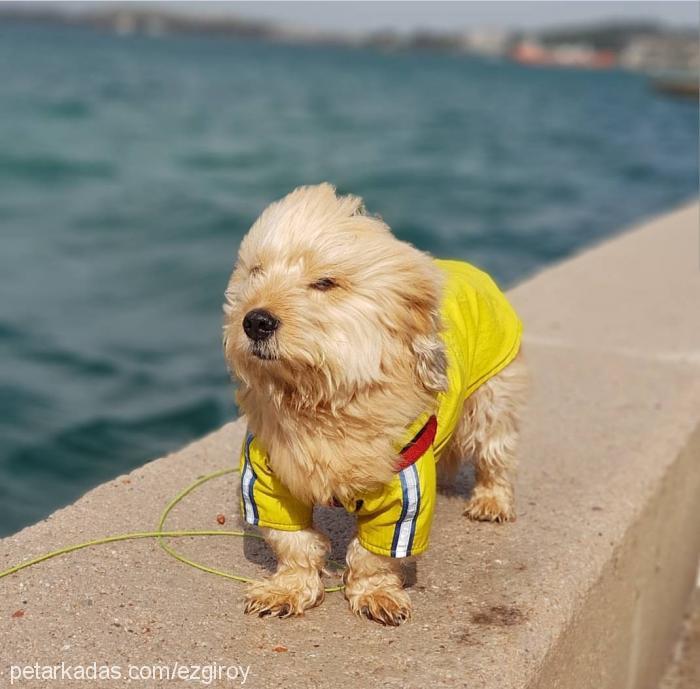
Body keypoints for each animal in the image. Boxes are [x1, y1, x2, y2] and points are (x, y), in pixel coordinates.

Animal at [223, 183, 524, 624]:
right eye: (256, 271)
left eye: (325, 283)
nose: (255, 321)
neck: (323, 400)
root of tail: (469, 267)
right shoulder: (268, 477)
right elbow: (293, 543)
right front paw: (288, 589)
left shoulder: (403, 486)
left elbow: (374, 555)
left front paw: (375, 592)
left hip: (491, 396)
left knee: (494, 450)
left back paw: (491, 499)